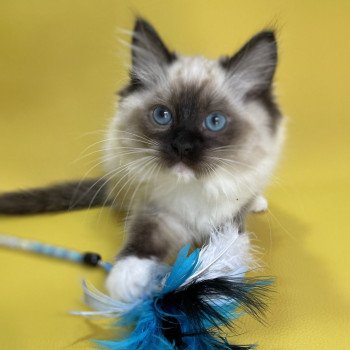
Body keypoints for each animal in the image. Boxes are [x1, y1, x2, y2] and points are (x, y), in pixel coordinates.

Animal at [0, 17, 284, 300]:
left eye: (215, 122)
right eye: (162, 116)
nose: (182, 146)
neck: (192, 191)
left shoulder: (230, 217)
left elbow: (228, 245)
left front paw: (215, 286)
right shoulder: (157, 211)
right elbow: (144, 239)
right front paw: (127, 280)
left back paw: (258, 201)